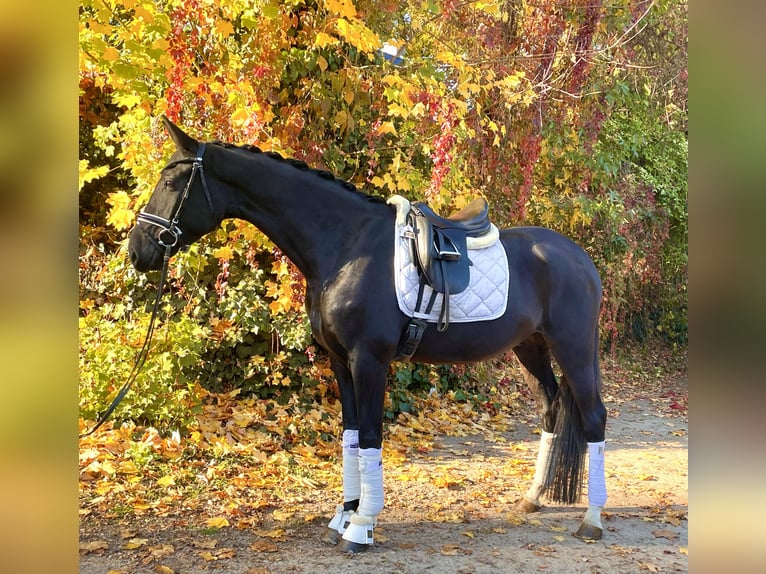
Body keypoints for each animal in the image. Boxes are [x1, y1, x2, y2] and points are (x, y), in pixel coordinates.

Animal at [129, 117, 608, 552]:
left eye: (170, 182)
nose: (137, 250)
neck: (345, 248)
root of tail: (579, 257)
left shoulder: (370, 360)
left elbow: (373, 438)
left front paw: (362, 526)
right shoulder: (340, 361)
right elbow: (352, 437)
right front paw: (344, 515)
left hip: (574, 348)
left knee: (593, 418)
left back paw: (592, 520)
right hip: (531, 348)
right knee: (551, 409)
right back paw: (533, 498)